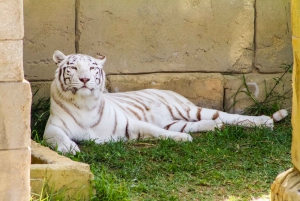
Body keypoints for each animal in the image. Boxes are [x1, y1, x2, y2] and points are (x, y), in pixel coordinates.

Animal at [43, 50, 290, 154]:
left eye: (92, 68)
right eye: (73, 67)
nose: (85, 79)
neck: (85, 104)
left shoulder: (130, 124)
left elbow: (156, 131)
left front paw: (182, 140)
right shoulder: (52, 128)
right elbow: (59, 137)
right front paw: (69, 148)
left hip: (188, 109)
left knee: (228, 116)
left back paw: (265, 121)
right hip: (177, 120)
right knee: (207, 123)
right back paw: (214, 127)